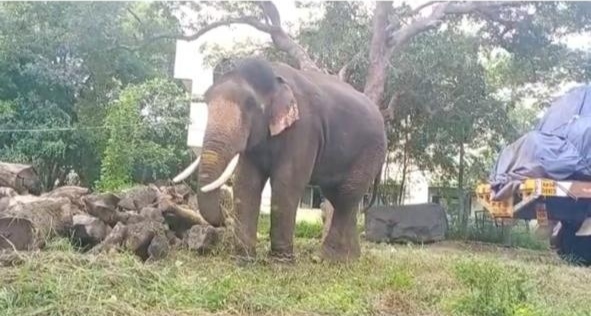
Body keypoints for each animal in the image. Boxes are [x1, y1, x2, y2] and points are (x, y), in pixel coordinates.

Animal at [173, 57, 386, 262]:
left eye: (250, 105)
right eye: (206, 101)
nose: (225, 217)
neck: (274, 75)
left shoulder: (304, 129)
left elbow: (286, 184)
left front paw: (281, 261)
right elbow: (246, 182)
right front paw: (242, 259)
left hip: (370, 151)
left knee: (346, 197)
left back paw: (326, 258)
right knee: (339, 196)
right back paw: (350, 259)